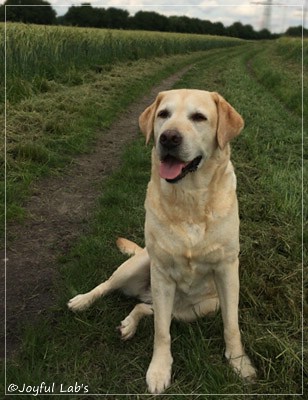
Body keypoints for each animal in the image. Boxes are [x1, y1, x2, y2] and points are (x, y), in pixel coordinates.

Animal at [68, 88, 258, 394]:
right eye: (163, 114)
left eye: (198, 117)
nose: (168, 138)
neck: (190, 199)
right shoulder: (161, 273)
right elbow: (161, 333)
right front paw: (159, 370)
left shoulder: (228, 270)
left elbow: (231, 324)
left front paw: (240, 364)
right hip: (138, 267)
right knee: (112, 288)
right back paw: (84, 301)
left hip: (200, 308)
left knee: (149, 309)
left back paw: (128, 324)